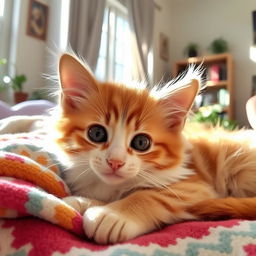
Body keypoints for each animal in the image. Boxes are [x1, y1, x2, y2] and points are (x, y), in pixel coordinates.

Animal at [55, 53, 256, 244]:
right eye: (96, 133)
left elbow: (148, 195)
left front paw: (112, 214)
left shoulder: (194, 185)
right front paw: (81, 200)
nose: (115, 162)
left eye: (141, 143)